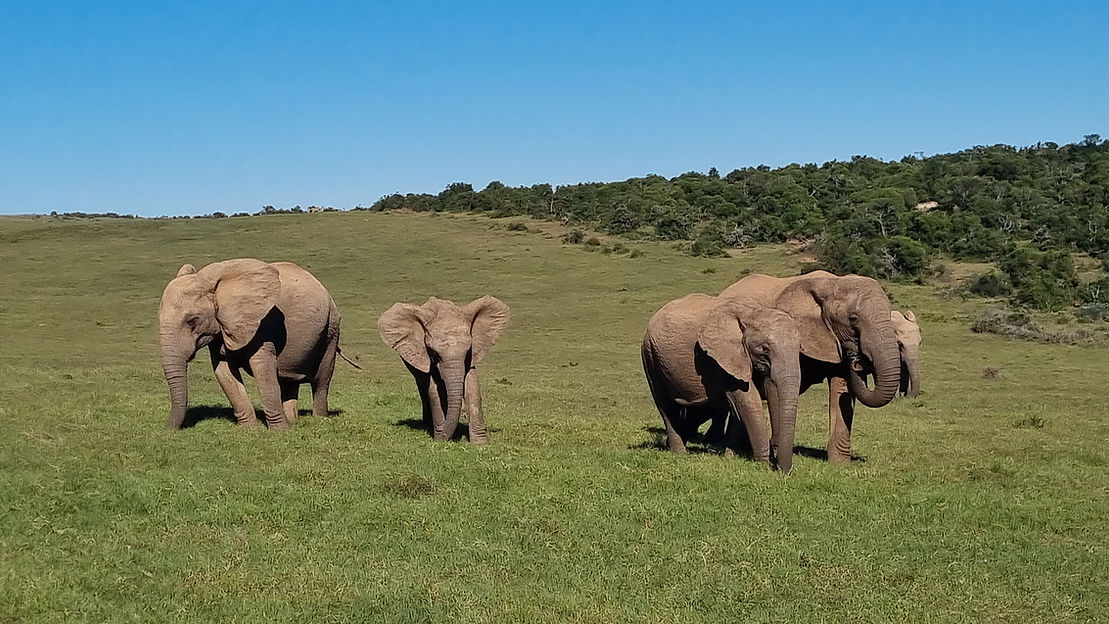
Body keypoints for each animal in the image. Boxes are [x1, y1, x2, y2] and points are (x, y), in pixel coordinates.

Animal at [158, 259, 341, 430]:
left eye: (192, 321)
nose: (168, 429)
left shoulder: (262, 323)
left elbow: (263, 370)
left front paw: (280, 431)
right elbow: (224, 372)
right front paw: (249, 429)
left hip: (331, 328)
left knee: (322, 379)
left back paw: (320, 419)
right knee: (289, 380)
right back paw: (293, 421)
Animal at [378, 296, 510, 443]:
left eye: (468, 350)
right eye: (435, 354)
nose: (444, 438)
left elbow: (472, 386)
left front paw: (481, 443)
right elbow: (433, 389)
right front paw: (440, 439)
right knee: (423, 385)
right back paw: (429, 424)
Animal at [641, 293, 802, 472]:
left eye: (799, 347)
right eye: (764, 349)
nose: (782, 471)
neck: (752, 312)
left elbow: (757, 397)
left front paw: (731, 457)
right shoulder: (722, 358)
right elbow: (748, 400)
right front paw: (762, 465)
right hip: (650, 356)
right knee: (665, 404)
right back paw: (680, 453)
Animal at [720, 270, 900, 463]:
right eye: (853, 318)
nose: (858, 359)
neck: (833, 283)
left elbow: (841, 389)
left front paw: (840, 464)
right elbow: (773, 387)